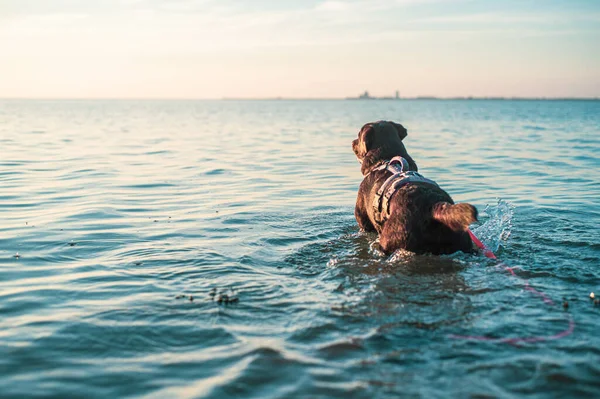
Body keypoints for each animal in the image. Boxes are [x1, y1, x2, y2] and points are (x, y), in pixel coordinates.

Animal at [352, 119, 478, 256]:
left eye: (358, 135)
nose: (352, 142)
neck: (385, 159)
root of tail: (433, 207)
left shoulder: (363, 220)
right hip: (463, 239)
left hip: (391, 240)